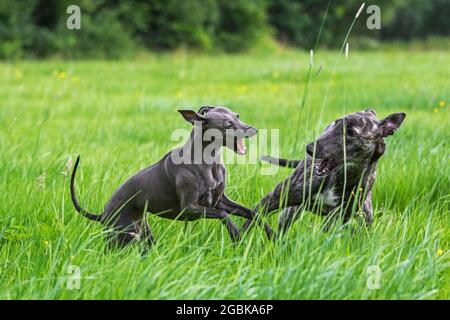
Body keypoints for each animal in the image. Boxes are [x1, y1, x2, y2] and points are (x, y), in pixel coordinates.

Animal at [70, 106, 270, 249]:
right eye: (228, 124)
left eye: (237, 116)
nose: (253, 130)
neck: (208, 161)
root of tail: (102, 214)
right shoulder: (190, 208)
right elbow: (224, 215)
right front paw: (236, 235)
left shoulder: (220, 201)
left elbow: (254, 213)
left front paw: (272, 235)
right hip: (120, 236)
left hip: (143, 234)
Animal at [248, 109, 406, 234]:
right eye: (336, 123)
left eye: (350, 132)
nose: (309, 149)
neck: (342, 177)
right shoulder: (274, 199)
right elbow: (252, 218)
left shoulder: (338, 216)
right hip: (290, 211)